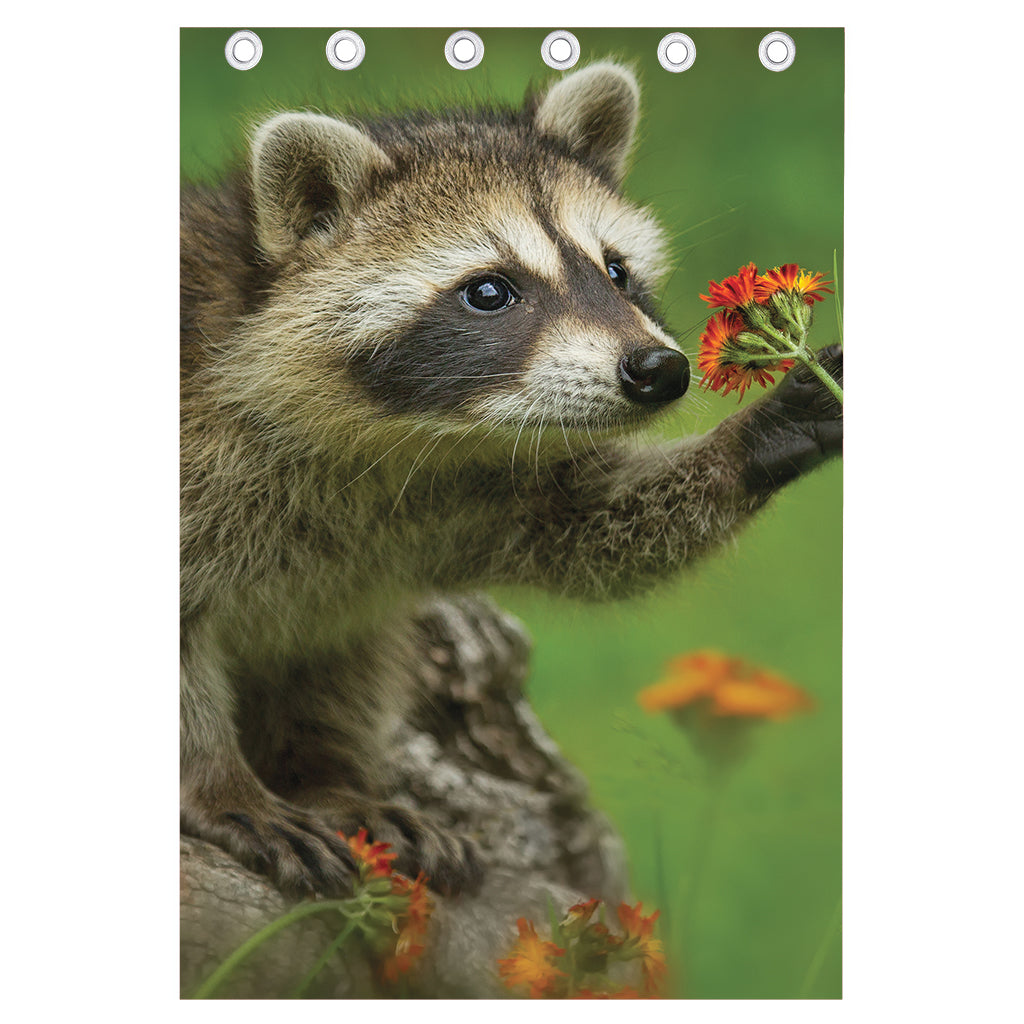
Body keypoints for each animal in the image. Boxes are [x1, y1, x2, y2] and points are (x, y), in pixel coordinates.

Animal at [180, 62, 842, 897]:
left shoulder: (470, 485)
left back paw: (328, 773)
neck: (396, 437)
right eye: (489, 291)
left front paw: (755, 437)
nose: (659, 370)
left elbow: (587, 528)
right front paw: (219, 786)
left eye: (617, 271)